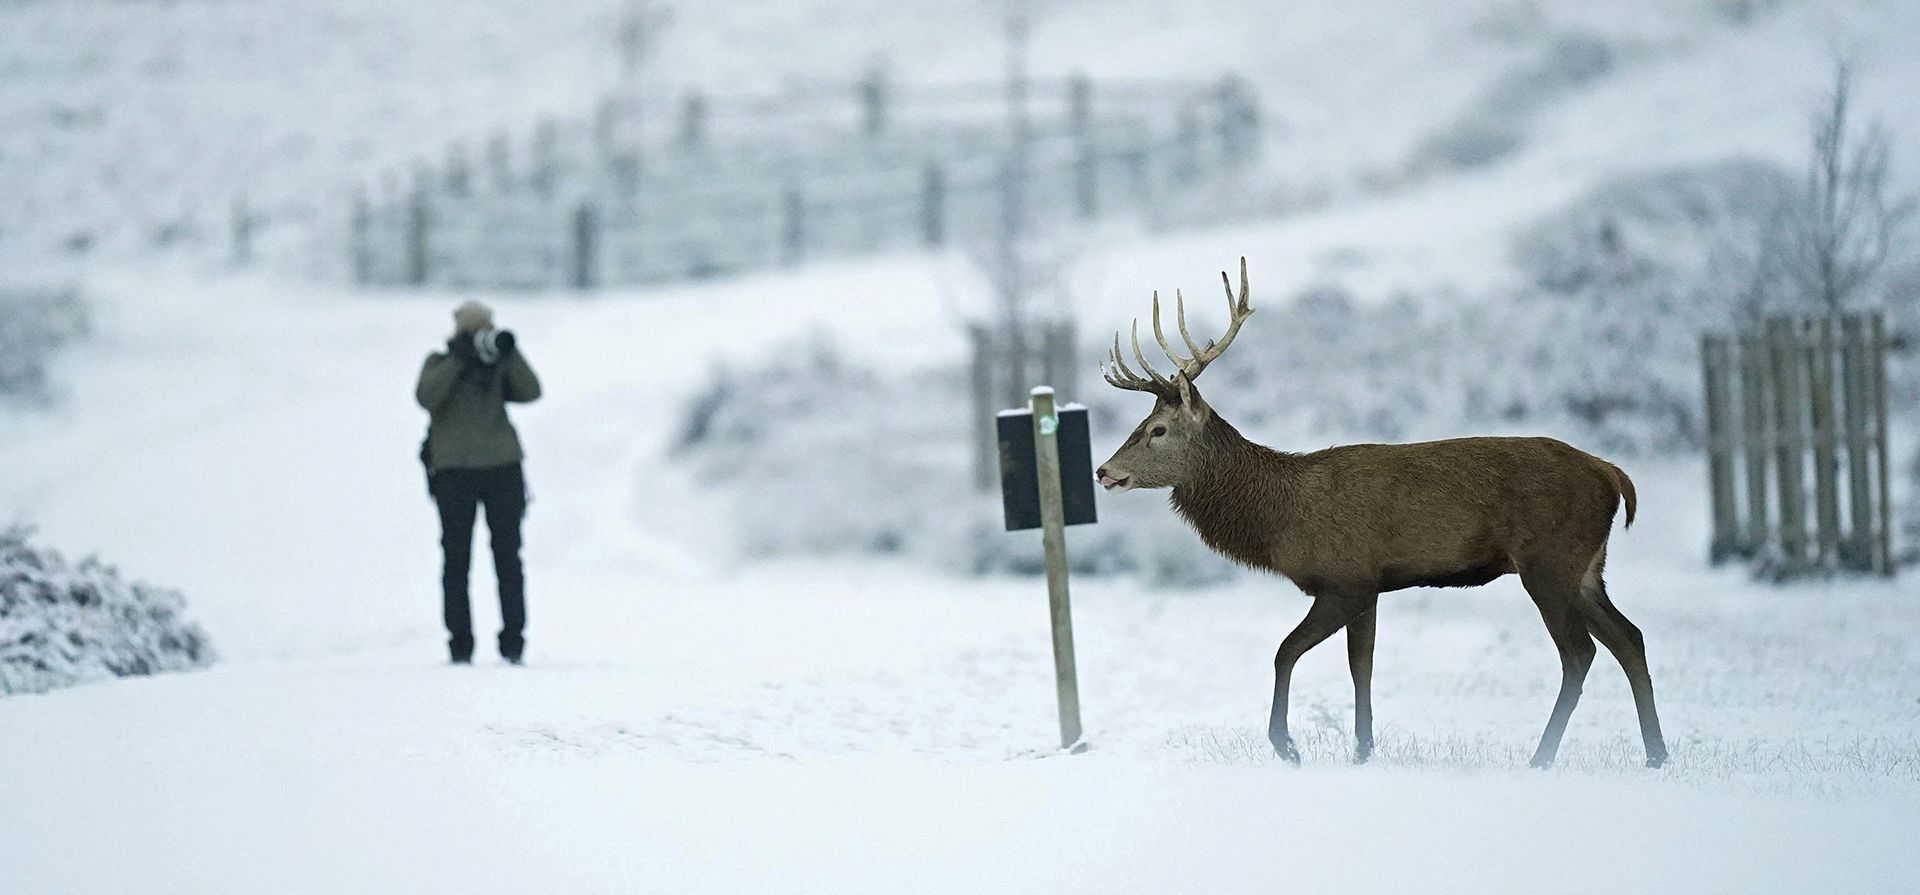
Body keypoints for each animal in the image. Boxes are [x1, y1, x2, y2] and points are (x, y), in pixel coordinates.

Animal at [1095, 258, 1667, 769]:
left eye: (1157, 430)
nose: (1104, 471)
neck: (1281, 519)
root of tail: (1612, 474)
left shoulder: (1344, 578)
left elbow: (1285, 651)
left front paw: (1288, 747)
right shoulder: (1370, 585)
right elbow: (1361, 666)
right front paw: (1363, 752)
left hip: (1549, 560)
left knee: (1580, 653)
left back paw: (1543, 757)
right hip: (1588, 567)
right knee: (1630, 638)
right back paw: (1656, 755)